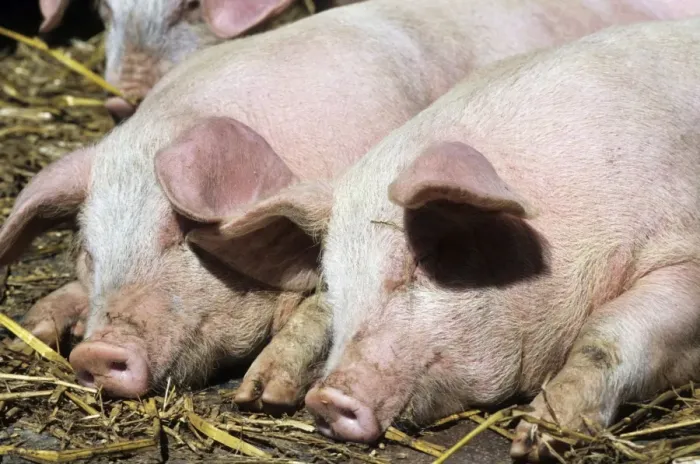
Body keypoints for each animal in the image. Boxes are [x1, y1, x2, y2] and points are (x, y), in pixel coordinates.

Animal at [219, 15, 700, 461]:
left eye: (422, 260)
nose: (325, 399)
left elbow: (610, 332)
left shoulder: (685, 258)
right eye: (336, 284)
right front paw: (258, 394)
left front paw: (535, 438)